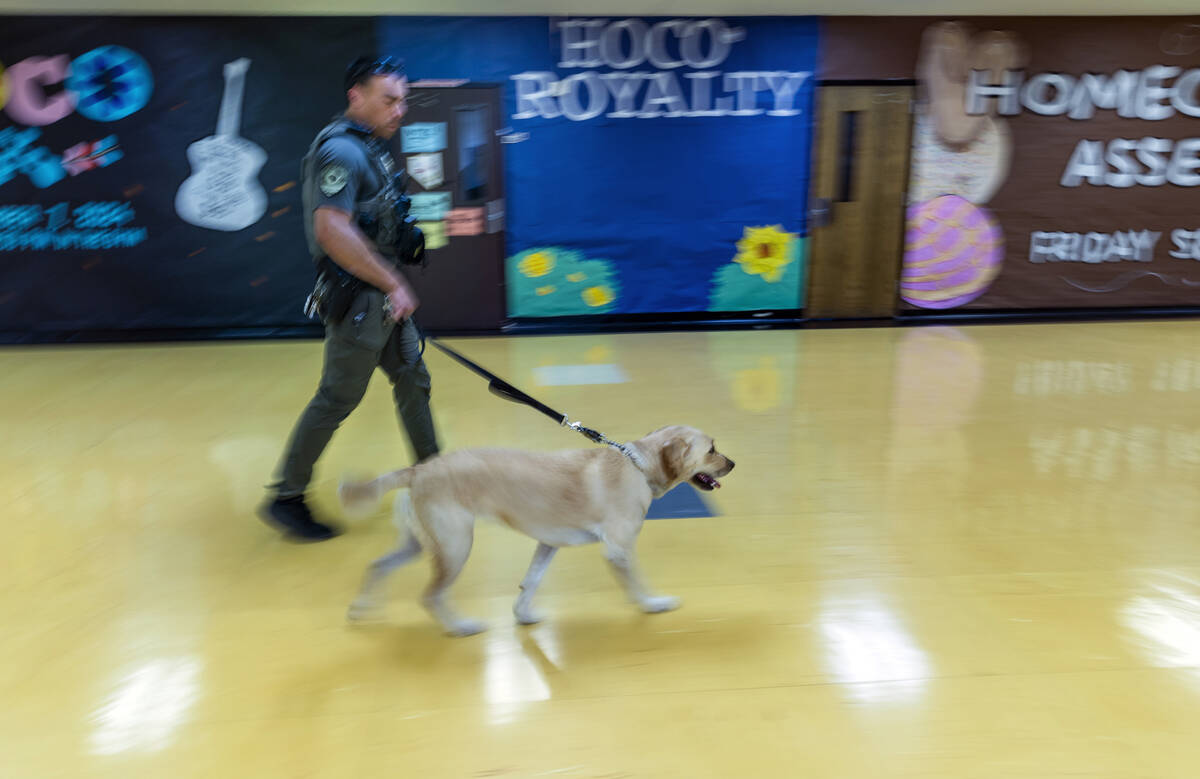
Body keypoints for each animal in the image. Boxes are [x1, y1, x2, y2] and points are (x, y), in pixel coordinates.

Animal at [338, 427, 729, 633]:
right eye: (712, 449)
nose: (734, 463)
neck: (638, 466)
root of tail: (418, 469)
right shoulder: (618, 550)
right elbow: (638, 584)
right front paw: (653, 604)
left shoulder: (547, 543)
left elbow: (531, 582)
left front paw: (523, 615)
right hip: (455, 546)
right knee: (430, 596)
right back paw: (460, 627)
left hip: (418, 544)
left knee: (377, 566)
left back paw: (359, 608)